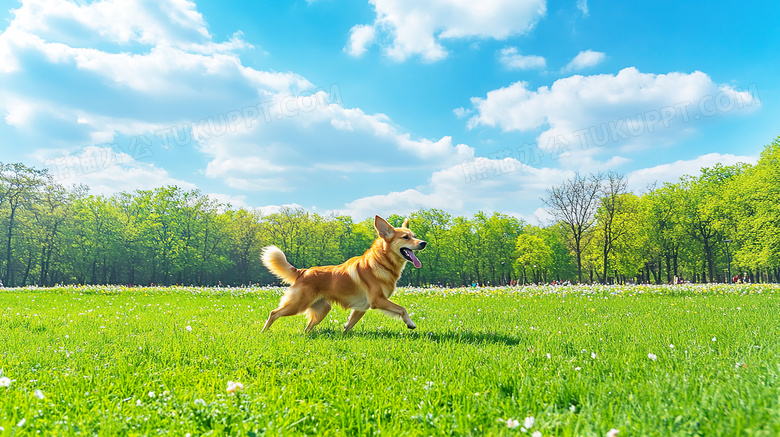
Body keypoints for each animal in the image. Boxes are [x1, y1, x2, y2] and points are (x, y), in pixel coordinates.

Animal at [260, 215, 426, 334]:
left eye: (414, 235)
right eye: (405, 237)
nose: (424, 243)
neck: (381, 262)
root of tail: (303, 272)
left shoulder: (361, 308)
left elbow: (348, 325)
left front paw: (343, 336)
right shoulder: (377, 300)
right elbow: (402, 309)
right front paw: (410, 323)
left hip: (322, 310)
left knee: (307, 327)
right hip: (297, 305)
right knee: (273, 313)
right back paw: (263, 332)